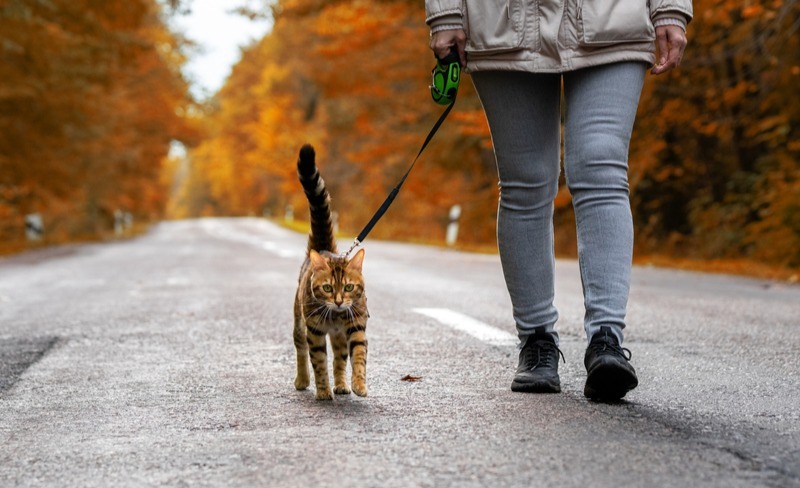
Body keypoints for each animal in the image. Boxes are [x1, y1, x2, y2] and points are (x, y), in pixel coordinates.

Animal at [294, 142, 368, 400]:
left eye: (348, 287)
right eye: (327, 288)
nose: (337, 301)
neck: (336, 316)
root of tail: (322, 247)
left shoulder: (356, 327)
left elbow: (358, 357)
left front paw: (359, 384)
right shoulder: (315, 331)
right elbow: (318, 362)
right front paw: (323, 390)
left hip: (338, 337)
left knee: (339, 358)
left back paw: (343, 384)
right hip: (300, 322)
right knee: (301, 350)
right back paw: (302, 380)